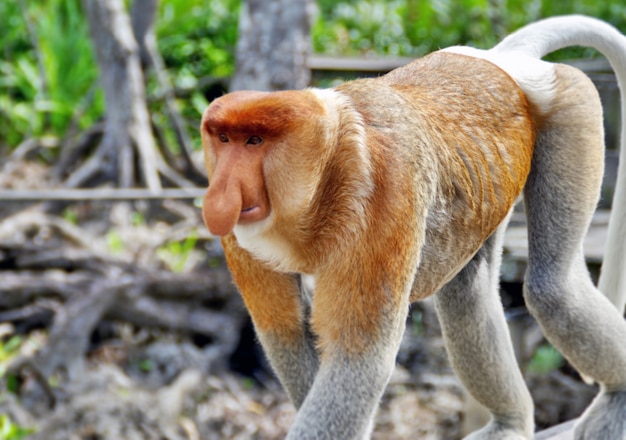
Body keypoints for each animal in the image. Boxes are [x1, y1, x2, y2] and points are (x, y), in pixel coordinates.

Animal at [199, 14, 624, 440]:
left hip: (569, 111)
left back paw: (612, 400)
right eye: (223, 139)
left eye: (254, 141)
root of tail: (498, 61)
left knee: (553, 289)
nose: (220, 193)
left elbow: (358, 359)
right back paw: (511, 422)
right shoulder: (240, 237)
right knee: (469, 291)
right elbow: (288, 335)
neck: (329, 162)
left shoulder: (383, 200)